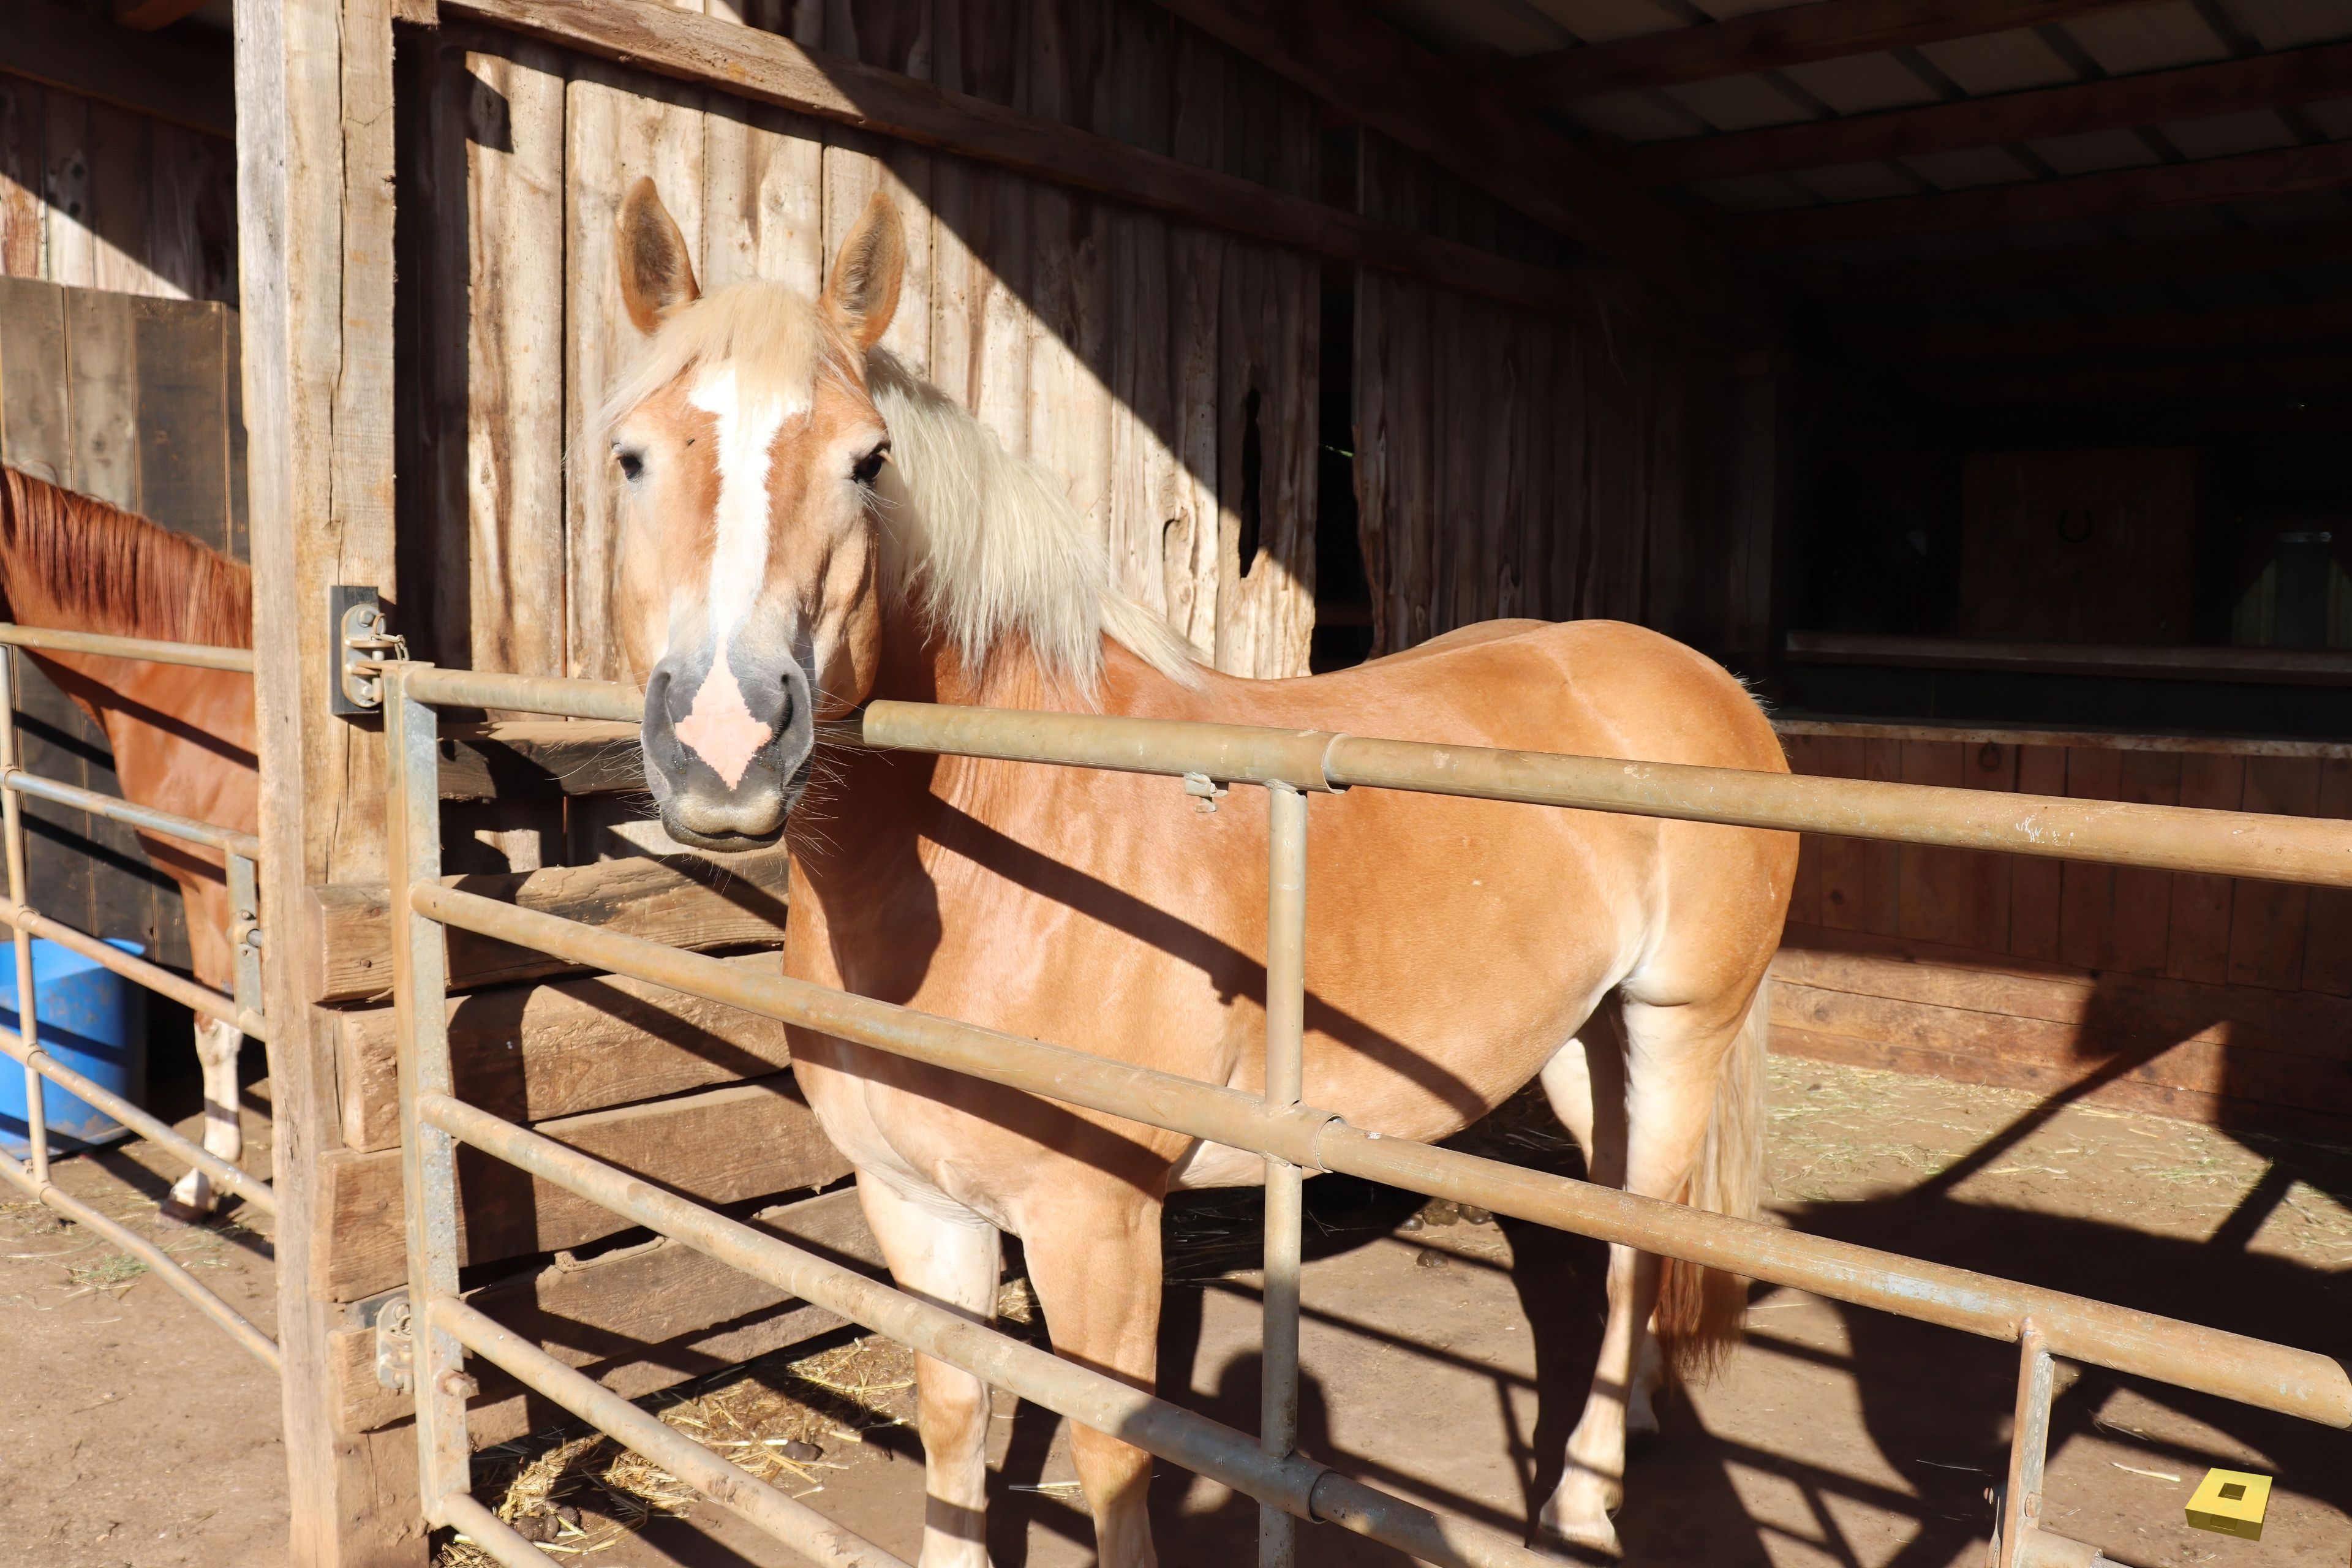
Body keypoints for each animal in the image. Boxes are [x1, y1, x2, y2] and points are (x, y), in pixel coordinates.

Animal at [600, 179, 1796, 1565]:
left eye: (868, 461)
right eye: (631, 456)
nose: (724, 744)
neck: (1001, 846)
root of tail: (1706, 682)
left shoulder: (1098, 1226)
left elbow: (1113, 1454)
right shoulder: (916, 1203)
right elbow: (956, 1414)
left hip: (1679, 1026)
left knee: (1641, 1241)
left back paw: (1583, 1497)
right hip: (1579, 1040)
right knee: (1620, 1227)